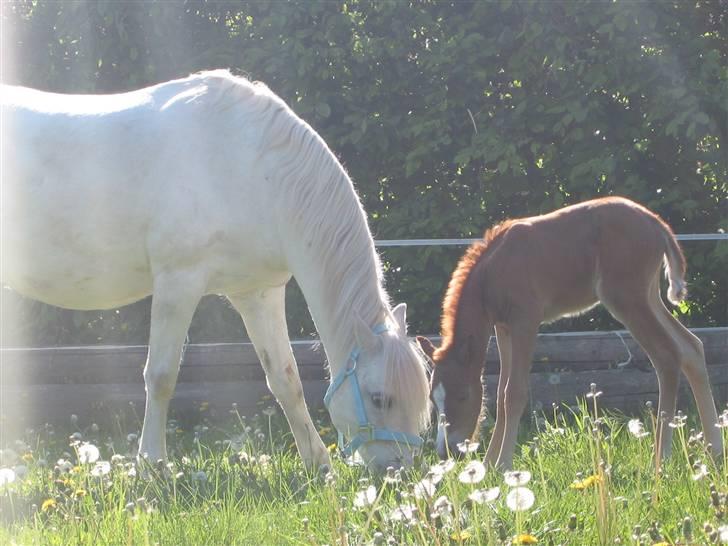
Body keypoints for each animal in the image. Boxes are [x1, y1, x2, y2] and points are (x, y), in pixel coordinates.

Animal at [1, 70, 430, 471]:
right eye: (379, 398)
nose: (396, 473)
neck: (250, 168)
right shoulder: (178, 283)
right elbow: (161, 377)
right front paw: (152, 464)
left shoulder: (258, 294)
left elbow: (286, 379)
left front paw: (317, 464)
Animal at [417, 197, 721, 469]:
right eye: (432, 399)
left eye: (462, 396)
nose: (446, 452)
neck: (491, 272)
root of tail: (657, 224)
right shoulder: (502, 328)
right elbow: (500, 392)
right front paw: (490, 464)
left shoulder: (526, 320)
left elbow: (514, 392)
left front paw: (503, 465)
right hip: (648, 296)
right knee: (691, 347)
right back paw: (714, 451)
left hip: (625, 299)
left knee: (667, 356)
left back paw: (661, 460)